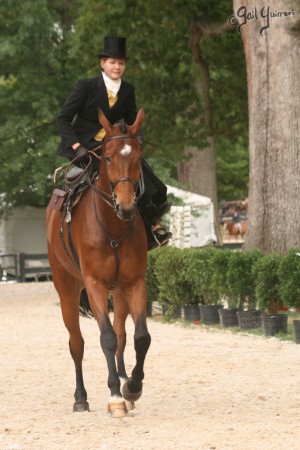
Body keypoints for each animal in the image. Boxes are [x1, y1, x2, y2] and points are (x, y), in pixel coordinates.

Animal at [46, 109, 150, 418]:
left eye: (138, 156)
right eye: (107, 158)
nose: (126, 206)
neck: (113, 226)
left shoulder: (134, 283)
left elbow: (140, 337)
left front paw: (132, 387)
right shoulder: (94, 285)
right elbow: (106, 338)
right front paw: (115, 395)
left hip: (119, 292)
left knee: (122, 334)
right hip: (67, 289)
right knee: (77, 343)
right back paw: (81, 397)